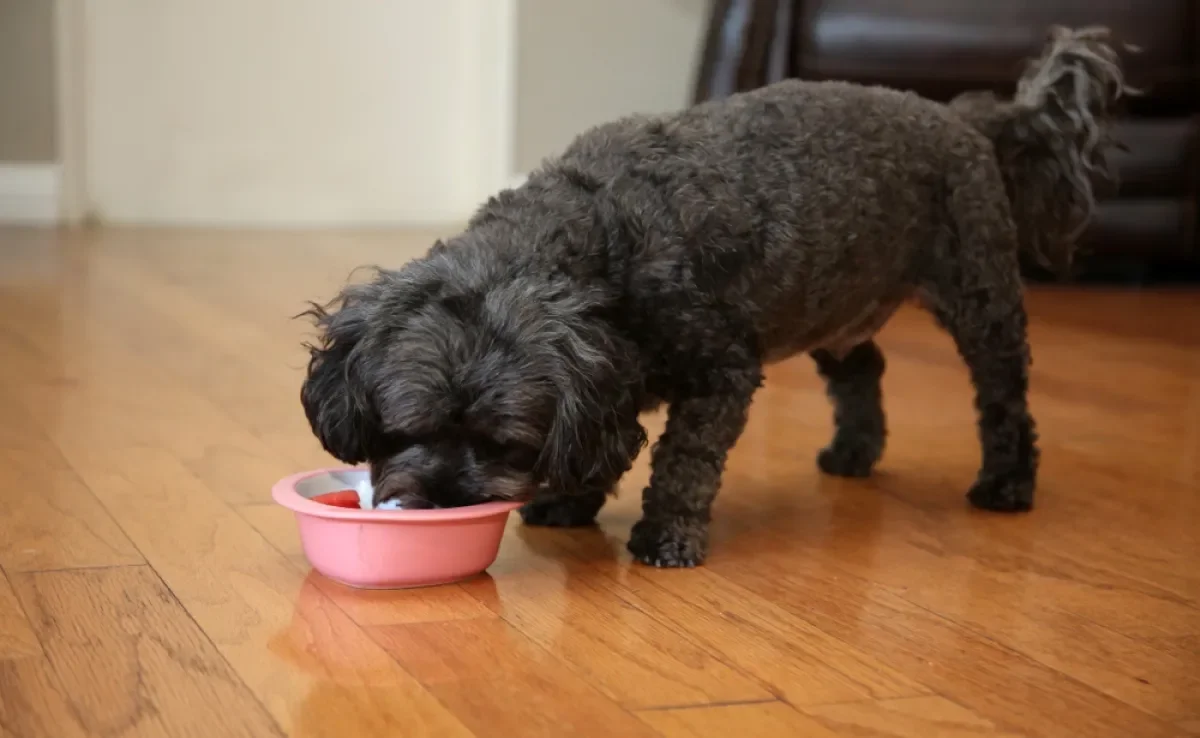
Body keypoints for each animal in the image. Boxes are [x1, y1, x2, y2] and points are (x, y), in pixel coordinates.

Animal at [300, 27, 1123, 566]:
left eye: (504, 443)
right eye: (406, 430)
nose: (440, 503)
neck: (592, 232)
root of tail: (965, 116)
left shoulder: (718, 373)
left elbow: (683, 462)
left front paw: (666, 535)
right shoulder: (608, 379)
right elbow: (607, 446)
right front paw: (572, 501)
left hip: (980, 296)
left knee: (1004, 399)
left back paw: (1006, 483)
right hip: (834, 302)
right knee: (864, 369)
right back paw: (853, 452)